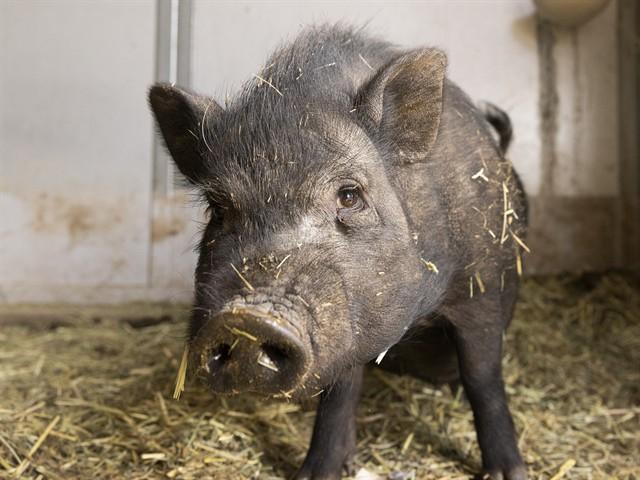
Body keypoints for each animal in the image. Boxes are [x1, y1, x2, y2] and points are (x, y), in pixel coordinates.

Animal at [149, 24, 528, 480]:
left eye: (349, 195)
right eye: (218, 209)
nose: (247, 319)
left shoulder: (483, 283)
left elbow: (482, 375)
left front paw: (509, 473)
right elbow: (341, 389)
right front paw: (317, 473)